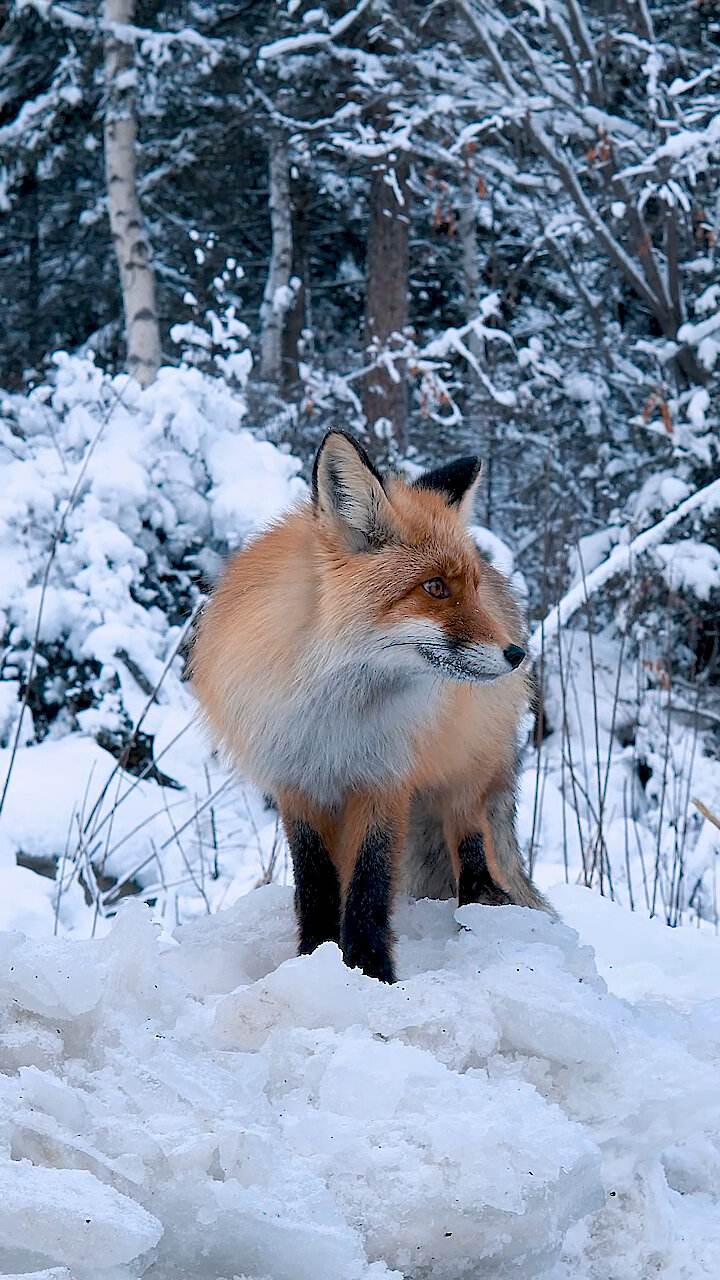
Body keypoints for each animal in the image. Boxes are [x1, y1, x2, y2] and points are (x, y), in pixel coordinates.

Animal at [190, 430, 548, 977]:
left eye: (469, 588)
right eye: (435, 587)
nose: (517, 653)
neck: (334, 711)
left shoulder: (385, 778)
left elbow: (370, 883)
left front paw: (370, 970)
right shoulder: (296, 783)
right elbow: (317, 884)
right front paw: (315, 958)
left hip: (465, 768)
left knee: (468, 836)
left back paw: (481, 909)